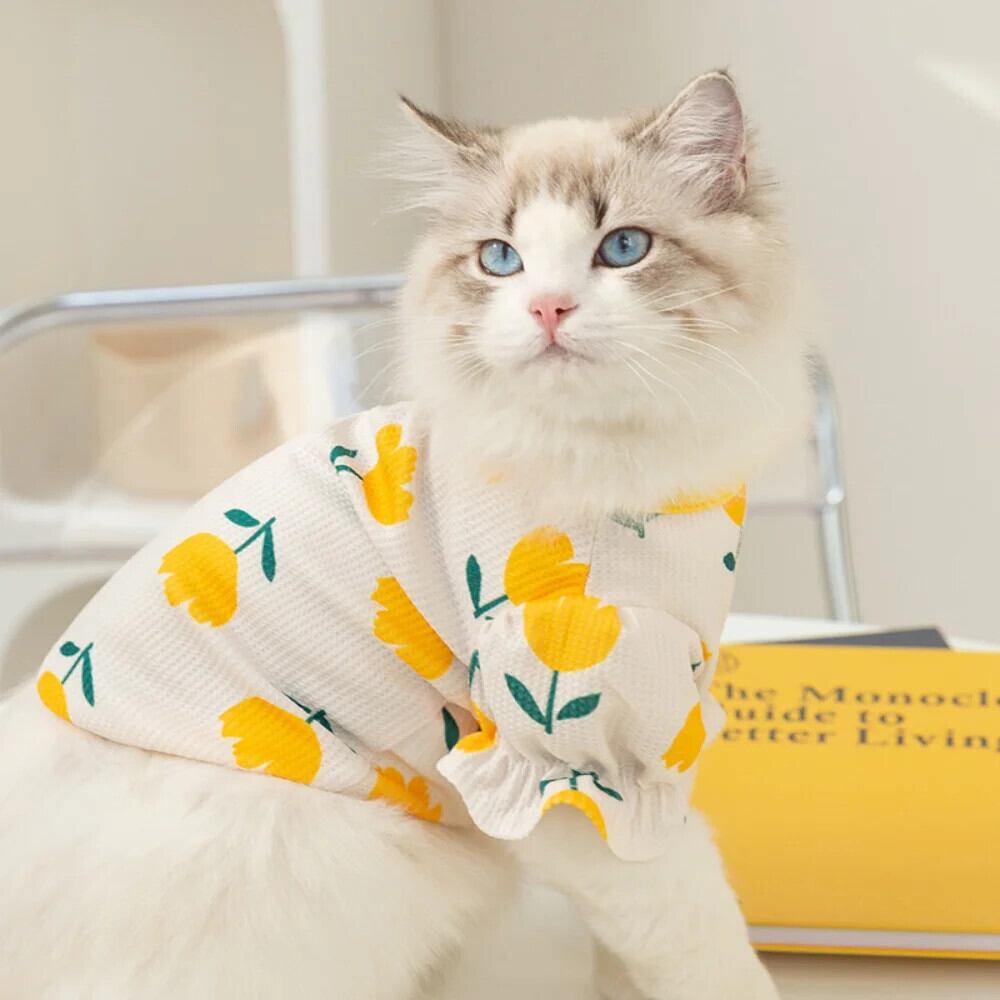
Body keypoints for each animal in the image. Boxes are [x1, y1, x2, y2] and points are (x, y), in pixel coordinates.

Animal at [0, 72, 807, 999]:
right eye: (500, 259)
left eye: (624, 247)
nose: (548, 307)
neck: (601, 464)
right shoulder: (569, 753)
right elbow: (700, 936)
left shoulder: (659, 718)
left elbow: (635, 944)